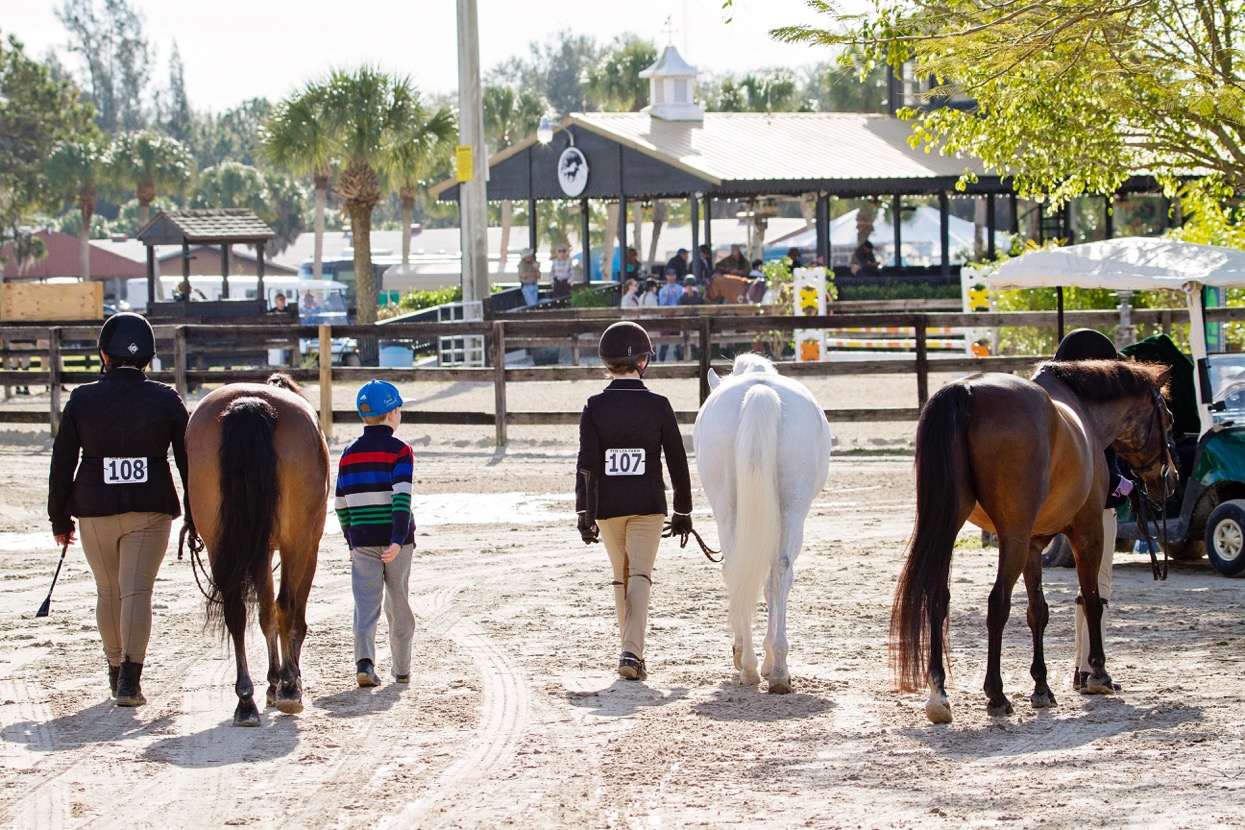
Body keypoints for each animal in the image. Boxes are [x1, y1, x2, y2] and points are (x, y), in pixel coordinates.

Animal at [184, 373, 329, 726]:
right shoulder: (310, 546)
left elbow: (264, 615)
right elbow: (291, 615)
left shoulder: (260, 551)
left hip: (219, 542)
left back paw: (246, 700)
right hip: (297, 541)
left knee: (236, 611)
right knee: (287, 606)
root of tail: (250, 402)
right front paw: (287, 680)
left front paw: (272, 682)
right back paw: (289, 688)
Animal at [693, 354, 832, 693]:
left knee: (743, 569)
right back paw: (770, 667)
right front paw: (767, 657)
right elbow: (771, 584)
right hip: (792, 509)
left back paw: (755, 666)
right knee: (778, 572)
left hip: (731, 508)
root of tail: (760, 391)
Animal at [893, 360, 1176, 723]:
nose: (1171, 478)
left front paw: (1042, 686)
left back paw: (938, 694)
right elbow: (1092, 600)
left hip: (950, 525)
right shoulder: (1087, 532)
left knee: (938, 598)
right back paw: (996, 695)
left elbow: (1037, 611)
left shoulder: (1033, 545)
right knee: (997, 603)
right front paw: (1098, 674)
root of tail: (967, 391)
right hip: (1011, 537)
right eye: (1168, 418)